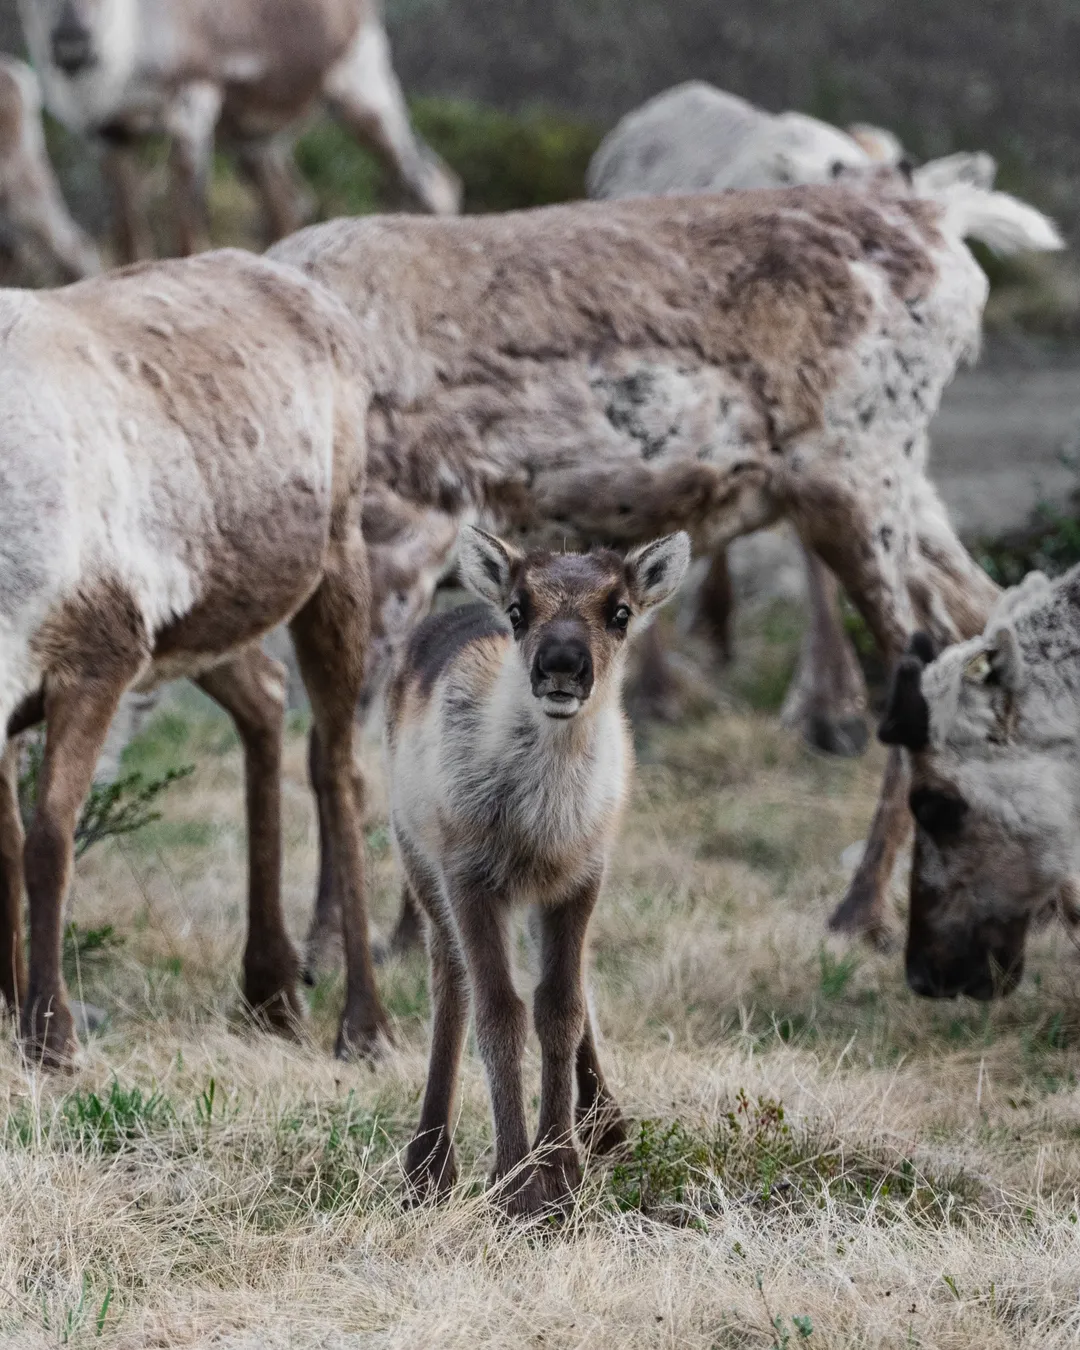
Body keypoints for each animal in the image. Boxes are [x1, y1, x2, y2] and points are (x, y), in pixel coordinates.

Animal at [388, 523, 688, 1215]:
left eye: (621, 612)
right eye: (520, 610)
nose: (561, 664)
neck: (539, 826)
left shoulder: (580, 878)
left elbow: (560, 1006)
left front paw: (560, 1173)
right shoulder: (468, 876)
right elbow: (500, 1011)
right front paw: (513, 1182)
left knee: (574, 986)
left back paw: (605, 1121)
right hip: (415, 855)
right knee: (450, 978)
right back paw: (429, 1163)